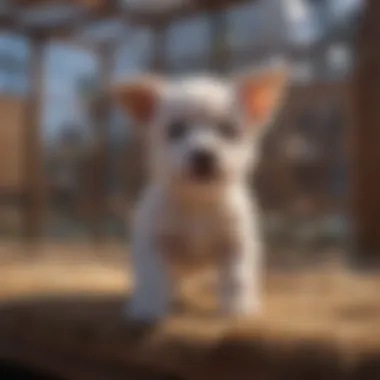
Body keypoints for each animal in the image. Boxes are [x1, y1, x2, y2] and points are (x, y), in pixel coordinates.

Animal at [112, 61, 288, 320]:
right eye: (175, 130)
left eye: (228, 130)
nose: (203, 155)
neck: (198, 201)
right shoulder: (152, 243)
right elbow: (152, 278)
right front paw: (147, 308)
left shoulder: (237, 244)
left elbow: (237, 277)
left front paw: (238, 309)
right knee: (171, 281)